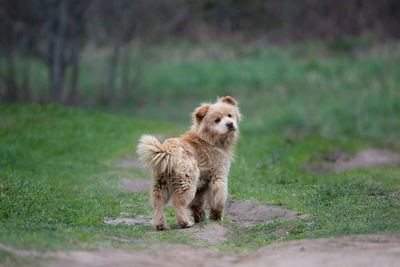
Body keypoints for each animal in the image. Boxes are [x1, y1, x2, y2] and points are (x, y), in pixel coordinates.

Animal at [137, 96, 241, 230]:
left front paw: (201, 218)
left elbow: (197, 203)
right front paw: (217, 217)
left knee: (158, 203)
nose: (230, 123)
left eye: (230, 115)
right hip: (187, 181)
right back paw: (185, 223)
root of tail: (168, 150)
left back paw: (161, 225)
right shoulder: (218, 176)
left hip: (160, 183)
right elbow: (218, 198)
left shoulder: (201, 185)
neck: (210, 140)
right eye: (217, 120)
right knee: (178, 202)